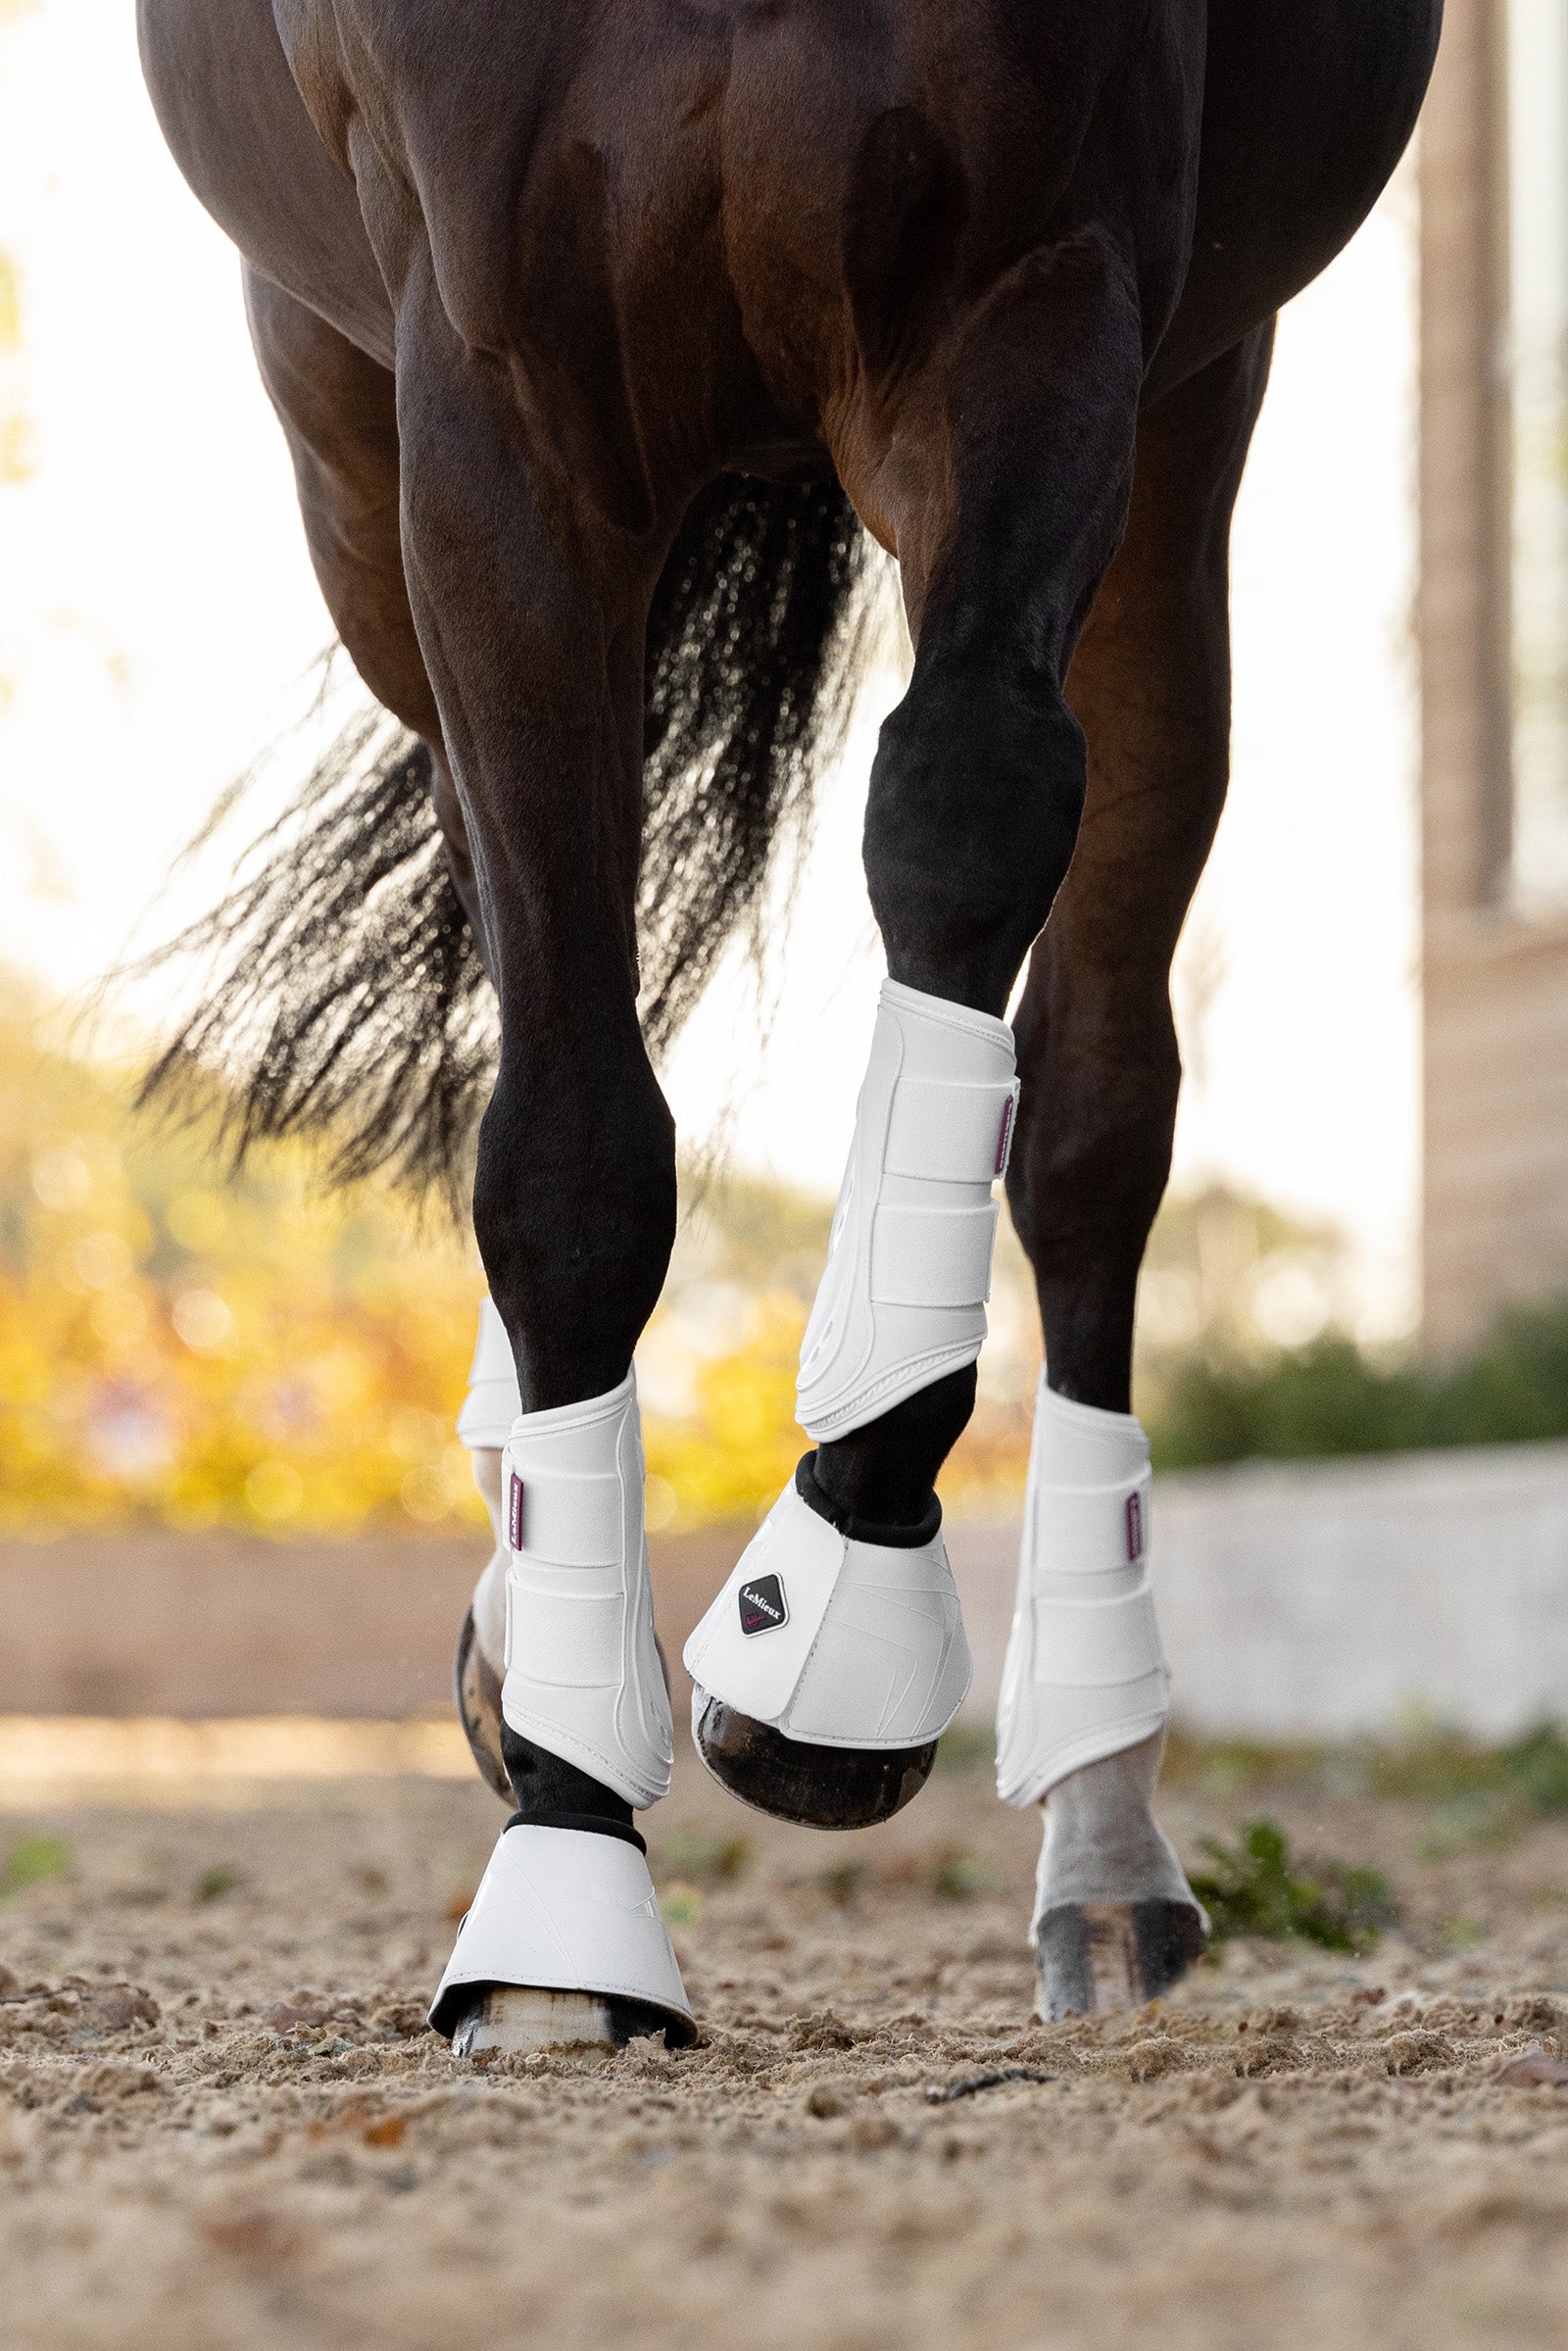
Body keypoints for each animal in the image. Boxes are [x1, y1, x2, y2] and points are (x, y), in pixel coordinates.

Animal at [135, 0, 1442, 2052]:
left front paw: (826, 1639)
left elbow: (969, 803)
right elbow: (570, 1140)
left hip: (1189, 414)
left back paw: (1104, 1841)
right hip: (346, 449)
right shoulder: (495, 405)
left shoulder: (1034, 289)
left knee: (1094, 1115)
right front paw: (567, 1874)